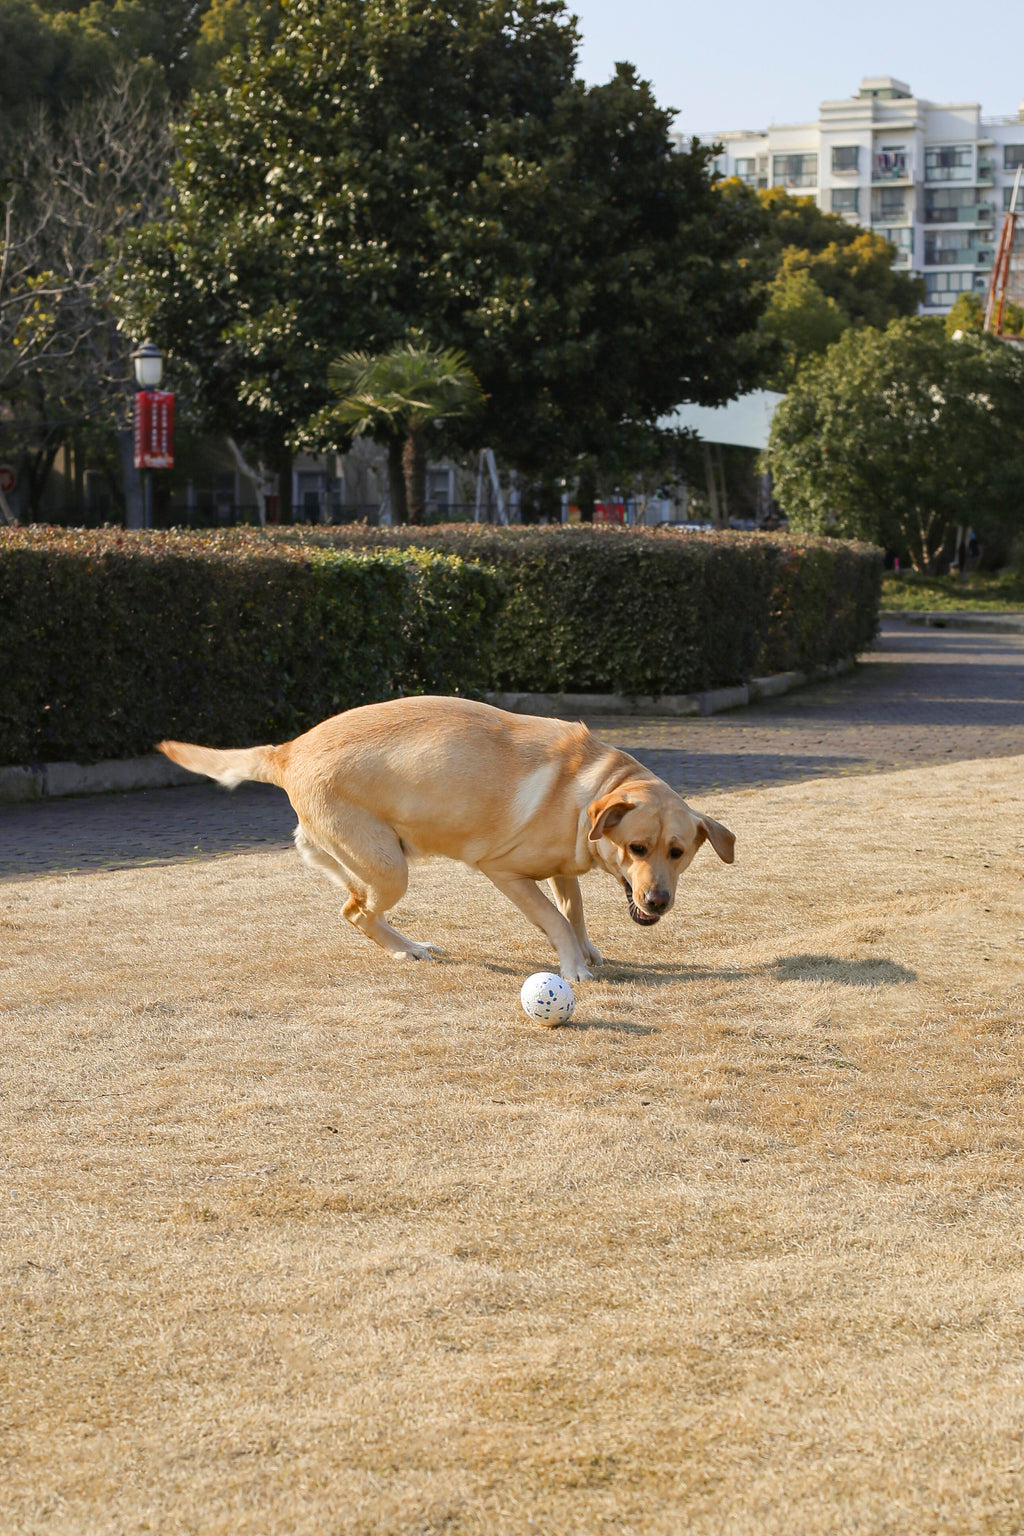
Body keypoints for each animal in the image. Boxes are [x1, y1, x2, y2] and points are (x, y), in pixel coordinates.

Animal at [160, 697, 733, 983]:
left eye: (678, 853)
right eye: (637, 848)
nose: (657, 901)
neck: (589, 788)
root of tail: (287, 750)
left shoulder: (563, 865)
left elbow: (573, 909)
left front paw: (587, 951)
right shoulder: (505, 871)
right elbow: (553, 917)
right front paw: (573, 967)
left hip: (367, 858)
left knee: (345, 889)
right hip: (390, 867)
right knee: (354, 911)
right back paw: (407, 950)